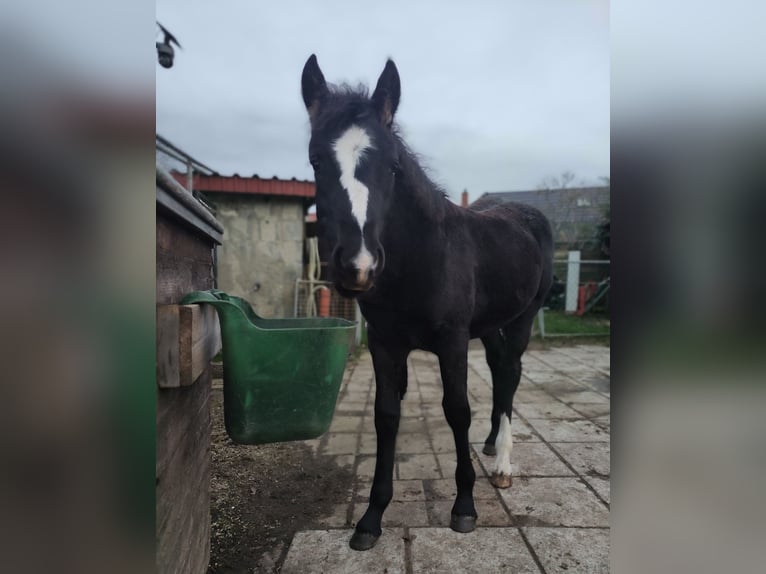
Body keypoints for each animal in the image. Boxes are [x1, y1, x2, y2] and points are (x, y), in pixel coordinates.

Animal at [300, 55, 554, 551]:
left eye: (393, 165)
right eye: (316, 159)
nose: (357, 264)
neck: (423, 259)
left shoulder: (452, 342)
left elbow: (456, 411)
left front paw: (465, 506)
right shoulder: (385, 344)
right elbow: (385, 416)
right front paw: (371, 517)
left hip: (522, 319)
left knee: (512, 373)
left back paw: (503, 463)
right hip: (490, 327)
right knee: (500, 372)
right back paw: (491, 443)